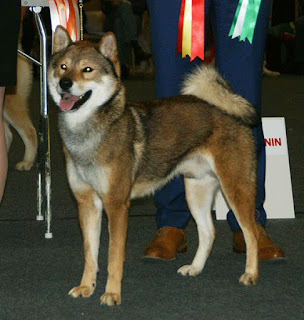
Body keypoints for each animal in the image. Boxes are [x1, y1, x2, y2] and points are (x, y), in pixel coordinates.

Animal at [48, 26, 262, 306]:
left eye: (87, 69)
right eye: (63, 67)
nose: (65, 83)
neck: (87, 136)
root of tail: (228, 108)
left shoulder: (116, 205)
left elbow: (113, 257)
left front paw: (112, 293)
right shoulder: (87, 203)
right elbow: (90, 255)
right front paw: (86, 286)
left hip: (236, 188)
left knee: (251, 233)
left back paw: (251, 273)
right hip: (196, 192)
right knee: (208, 232)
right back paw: (195, 268)